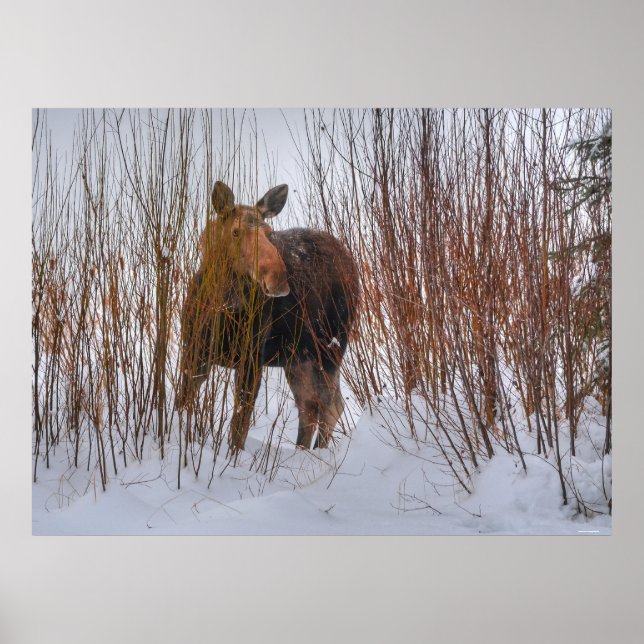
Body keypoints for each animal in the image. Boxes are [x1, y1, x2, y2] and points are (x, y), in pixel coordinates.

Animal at [176, 181, 359, 455]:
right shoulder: (195, 352)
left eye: (269, 232)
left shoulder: (252, 361)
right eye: (235, 232)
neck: (224, 304)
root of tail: (352, 265)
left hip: (328, 350)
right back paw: (302, 453)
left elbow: (239, 425)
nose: (278, 278)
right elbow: (182, 402)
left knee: (329, 405)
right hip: (298, 359)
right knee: (311, 406)